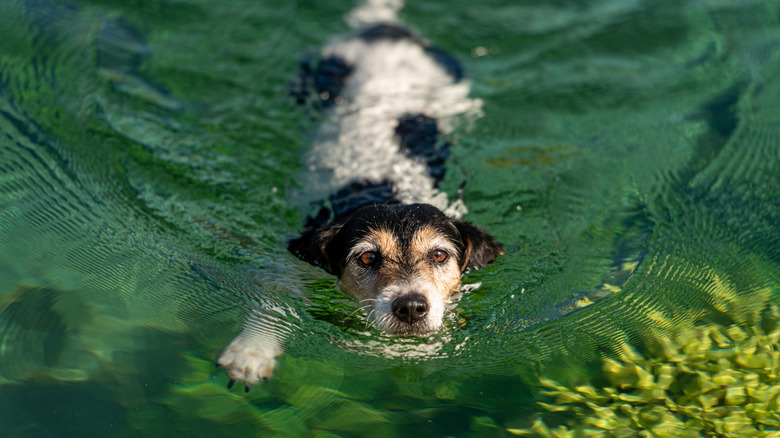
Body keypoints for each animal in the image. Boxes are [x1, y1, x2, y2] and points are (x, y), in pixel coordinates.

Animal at [216, 0, 502, 390]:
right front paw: (251, 351)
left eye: (440, 255)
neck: (390, 193)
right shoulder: (294, 263)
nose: (411, 307)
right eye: (367, 258)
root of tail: (384, 29)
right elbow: (273, 299)